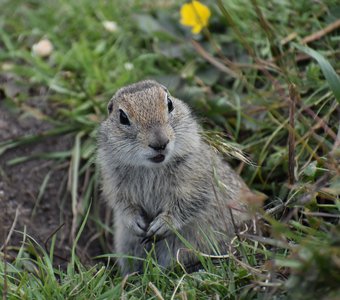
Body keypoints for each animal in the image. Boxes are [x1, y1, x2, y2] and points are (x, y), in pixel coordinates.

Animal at [97, 79, 251, 274]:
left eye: (169, 103)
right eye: (122, 117)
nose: (160, 143)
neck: (152, 168)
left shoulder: (195, 181)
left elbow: (188, 203)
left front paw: (160, 226)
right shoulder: (114, 182)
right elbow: (122, 204)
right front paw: (137, 225)